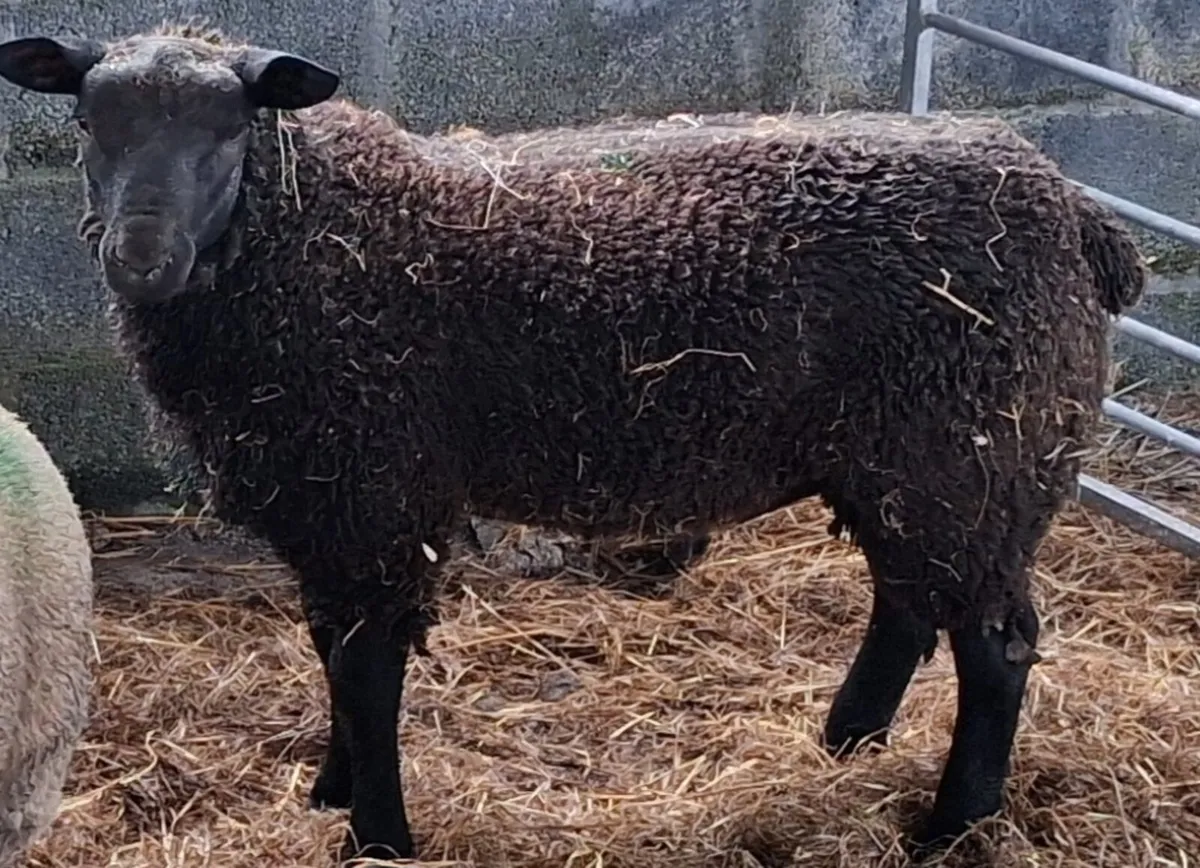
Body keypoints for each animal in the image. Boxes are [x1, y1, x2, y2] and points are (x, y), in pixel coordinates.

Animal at [0, 24, 1147, 863]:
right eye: (87, 121)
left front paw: (380, 834)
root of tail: (1081, 212)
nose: (141, 258)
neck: (317, 237)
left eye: (234, 131)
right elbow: (331, 651)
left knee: (995, 647)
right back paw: (845, 745)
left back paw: (949, 825)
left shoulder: (375, 489)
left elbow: (366, 667)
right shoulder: (328, 499)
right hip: (911, 460)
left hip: (979, 451)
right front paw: (332, 791)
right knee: (908, 604)